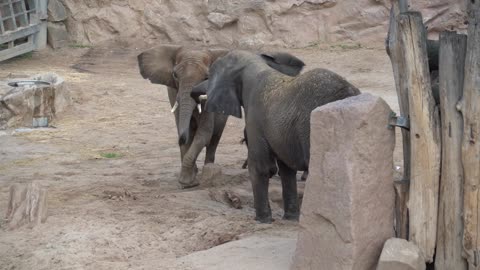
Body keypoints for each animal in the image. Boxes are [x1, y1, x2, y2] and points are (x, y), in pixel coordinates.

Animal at [191, 51, 360, 224]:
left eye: (210, 76)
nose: (195, 93)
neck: (257, 64)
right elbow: (286, 169)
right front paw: (291, 218)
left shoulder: (255, 120)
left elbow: (260, 167)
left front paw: (262, 220)